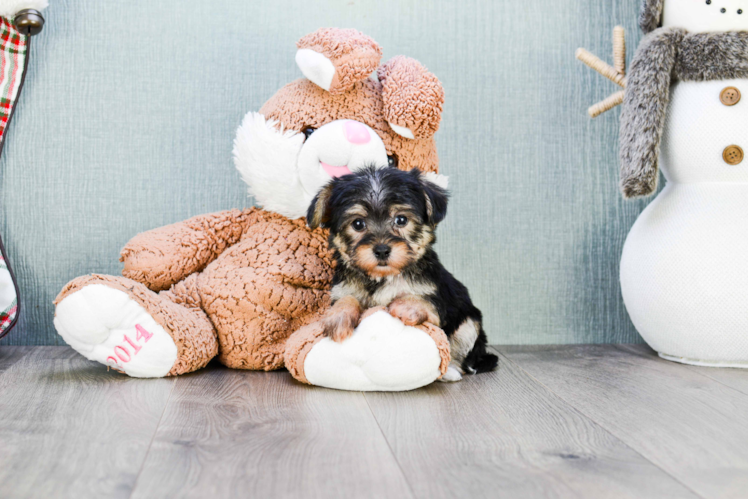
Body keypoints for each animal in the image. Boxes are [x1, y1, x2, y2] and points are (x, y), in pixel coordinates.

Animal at [306, 166, 500, 380]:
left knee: (463, 355)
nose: (382, 250)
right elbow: (346, 298)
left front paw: (405, 306)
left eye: (401, 220)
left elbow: (425, 302)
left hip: (470, 323)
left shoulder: (439, 299)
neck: (382, 277)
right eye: (357, 224)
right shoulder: (344, 288)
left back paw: (450, 371)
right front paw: (338, 317)